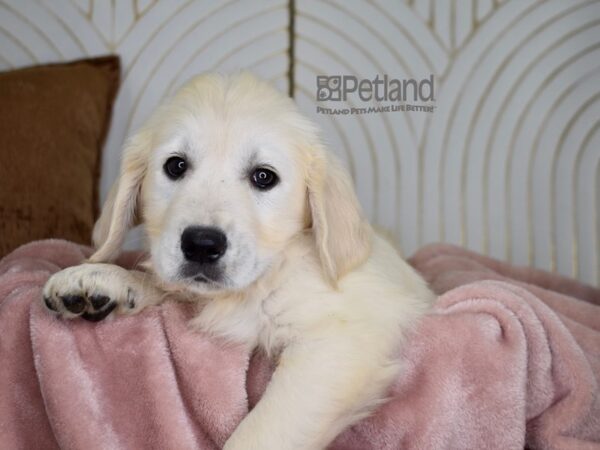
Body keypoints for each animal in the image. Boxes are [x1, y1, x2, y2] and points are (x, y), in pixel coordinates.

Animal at [43, 74, 436, 450]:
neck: (267, 277)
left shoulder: (342, 340)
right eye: (176, 166)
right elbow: (166, 286)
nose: (201, 245)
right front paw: (100, 279)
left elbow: (260, 433)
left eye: (264, 176)